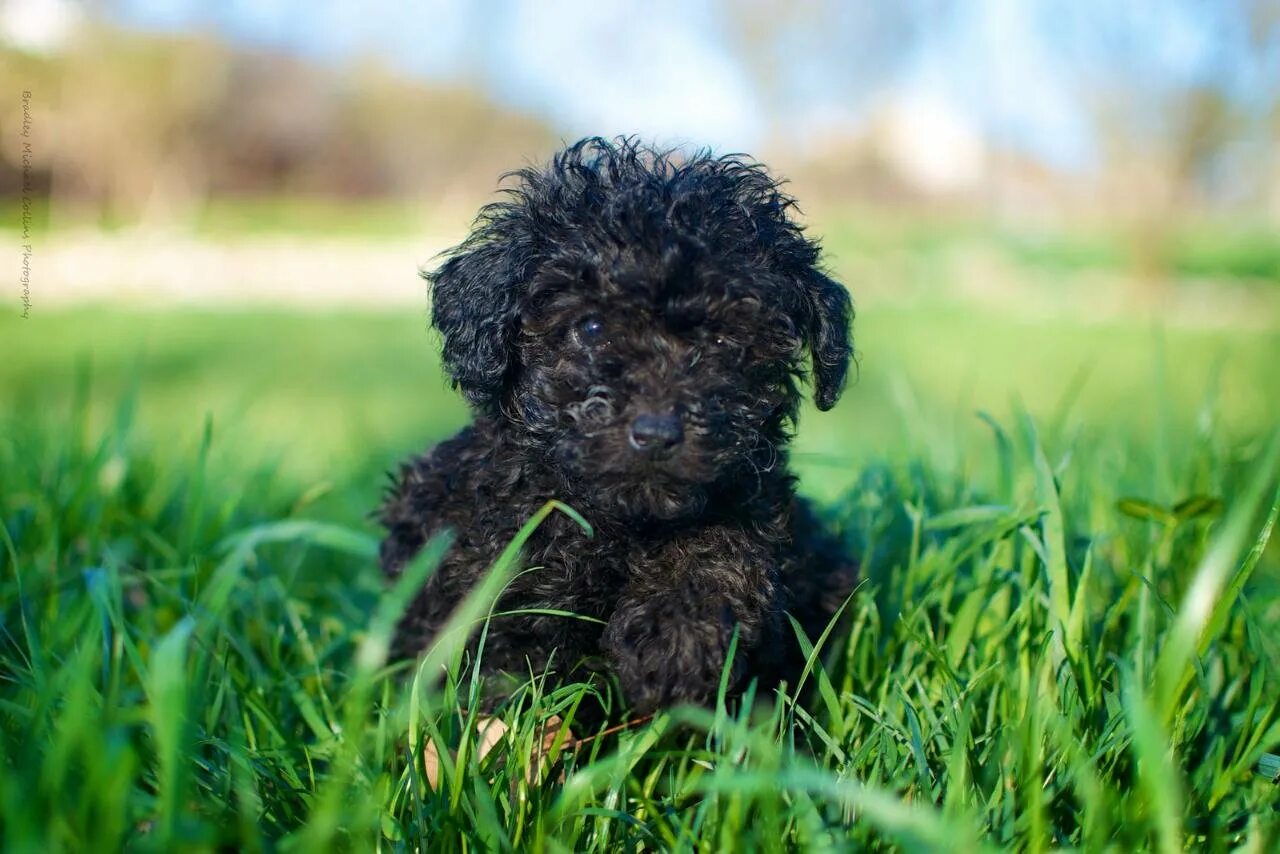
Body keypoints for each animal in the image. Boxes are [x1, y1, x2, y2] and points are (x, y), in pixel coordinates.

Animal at [378, 138, 860, 717]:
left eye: (726, 341)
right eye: (591, 328)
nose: (655, 435)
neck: (623, 523)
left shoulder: (757, 503)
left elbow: (724, 542)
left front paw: (674, 640)